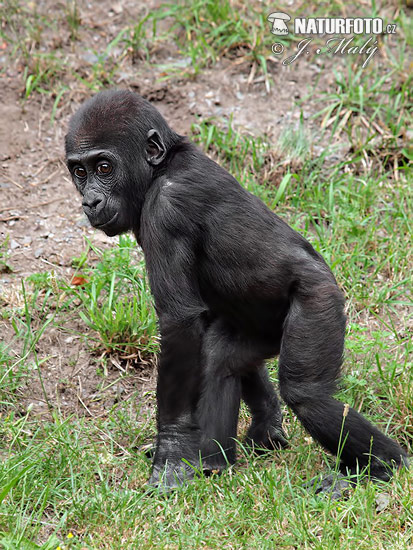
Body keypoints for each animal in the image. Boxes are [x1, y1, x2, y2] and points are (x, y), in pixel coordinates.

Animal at [64, 90, 406, 496]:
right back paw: (215, 461)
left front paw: (171, 453)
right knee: (221, 357)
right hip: (266, 333)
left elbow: (180, 323)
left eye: (104, 168)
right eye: (80, 172)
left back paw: (380, 465)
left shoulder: (167, 209)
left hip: (319, 301)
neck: (159, 170)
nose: (90, 201)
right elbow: (205, 332)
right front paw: (266, 420)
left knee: (309, 397)